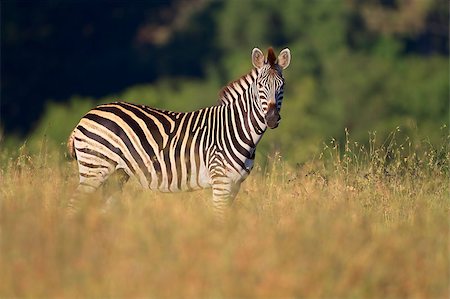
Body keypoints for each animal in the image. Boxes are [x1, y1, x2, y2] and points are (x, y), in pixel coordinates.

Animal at [67, 48, 292, 218]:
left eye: (282, 86)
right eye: (260, 86)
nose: (272, 118)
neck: (235, 128)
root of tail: (86, 116)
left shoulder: (235, 184)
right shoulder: (221, 181)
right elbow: (219, 218)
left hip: (115, 175)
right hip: (95, 167)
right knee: (74, 204)